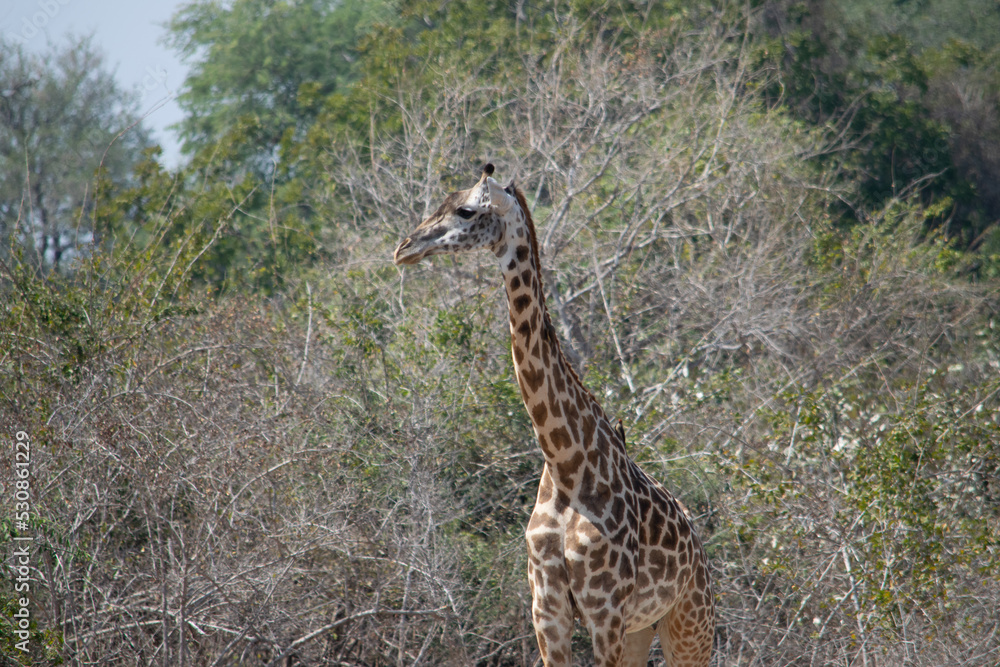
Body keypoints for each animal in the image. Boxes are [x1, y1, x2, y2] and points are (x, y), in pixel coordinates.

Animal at [393, 165, 714, 667]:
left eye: (465, 210)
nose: (404, 248)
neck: (566, 463)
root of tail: (699, 545)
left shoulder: (604, 611)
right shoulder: (547, 608)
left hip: (689, 624)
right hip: (643, 628)